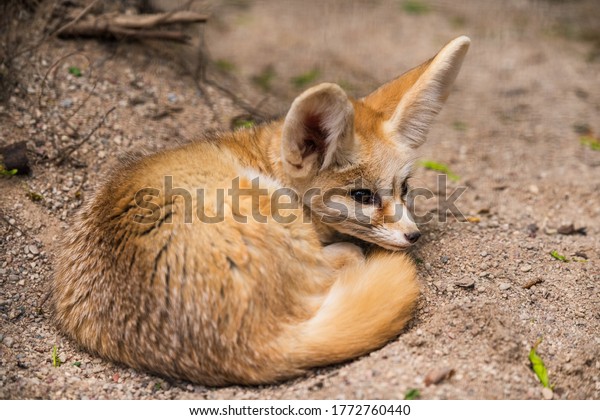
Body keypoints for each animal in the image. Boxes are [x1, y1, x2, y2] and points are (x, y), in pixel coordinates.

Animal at [52, 37, 468, 386]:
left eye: (404, 188)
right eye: (363, 195)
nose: (414, 236)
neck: (262, 159)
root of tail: (247, 346)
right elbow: (348, 251)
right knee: (344, 260)